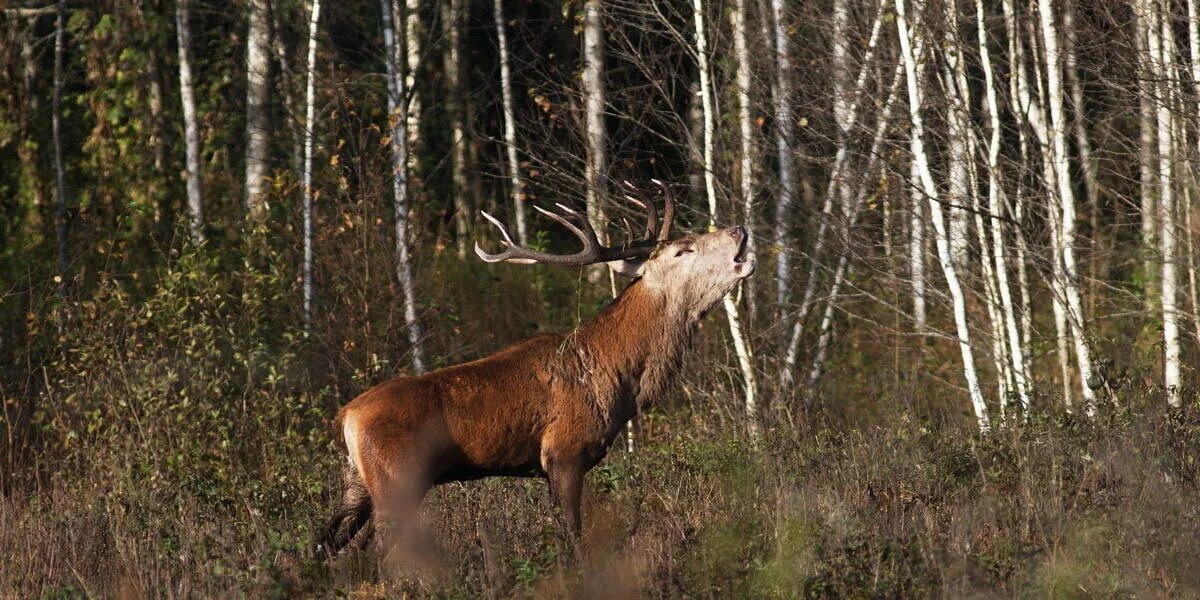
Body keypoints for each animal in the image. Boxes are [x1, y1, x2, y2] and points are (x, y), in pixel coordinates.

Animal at [314, 180, 753, 559]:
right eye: (683, 250)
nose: (739, 228)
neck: (619, 377)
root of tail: (345, 416)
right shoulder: (564, 451)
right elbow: (573, 537)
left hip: (357, 482)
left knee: (328, 541)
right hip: (396, 479)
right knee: (379, 549)